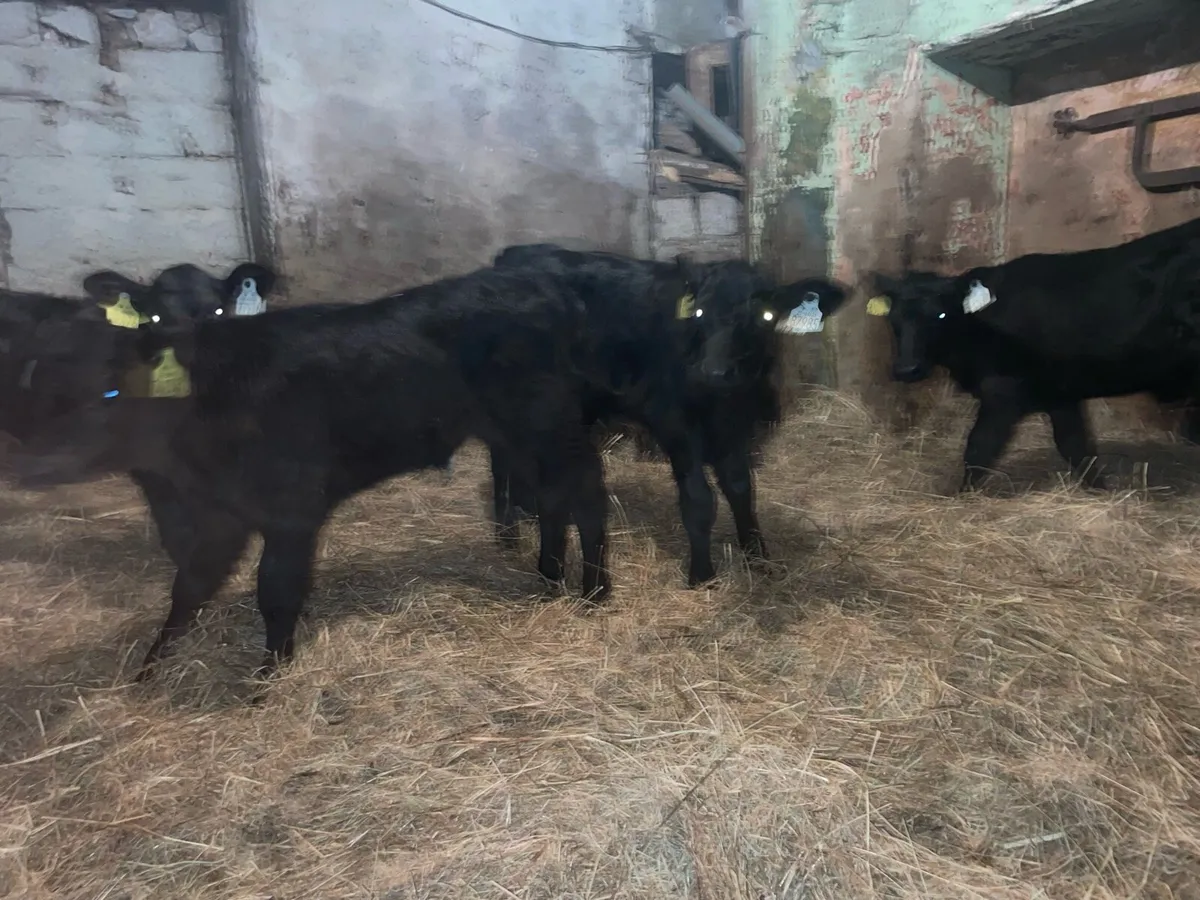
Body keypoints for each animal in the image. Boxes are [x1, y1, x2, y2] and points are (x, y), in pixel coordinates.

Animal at [5, 265, 611, 680]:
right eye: (33, 388)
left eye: (108, 393)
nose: (26, 464)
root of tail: (539, 282)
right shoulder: (218, 515)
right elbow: (189, 586)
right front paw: (152, 667)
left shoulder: (291, 508)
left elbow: (275, 589)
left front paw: (267, 678)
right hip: (516, 435)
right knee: (552, 499)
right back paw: (548, 577)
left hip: (549, 423)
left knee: (586, 495)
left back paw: (595, 592)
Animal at [489, 243, 849, 587]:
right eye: (699, 312)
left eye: (764, 315)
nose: (713, 372)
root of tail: (512, 255)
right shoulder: (675, 423)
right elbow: (699, 498)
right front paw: (702, 576)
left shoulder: (735, 427)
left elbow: (741, 489)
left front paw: (758, 559)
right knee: (501, 458)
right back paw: (507, 534)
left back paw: (527, 514)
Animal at [865, 216, 1200, 491]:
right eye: (894, 318)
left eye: (941, 315)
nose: (907, 369)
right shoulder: (1060, 392)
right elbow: (1076, 447)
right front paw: (1101, 491)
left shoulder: (1003, 391)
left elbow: (979, 448)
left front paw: (961, 496)